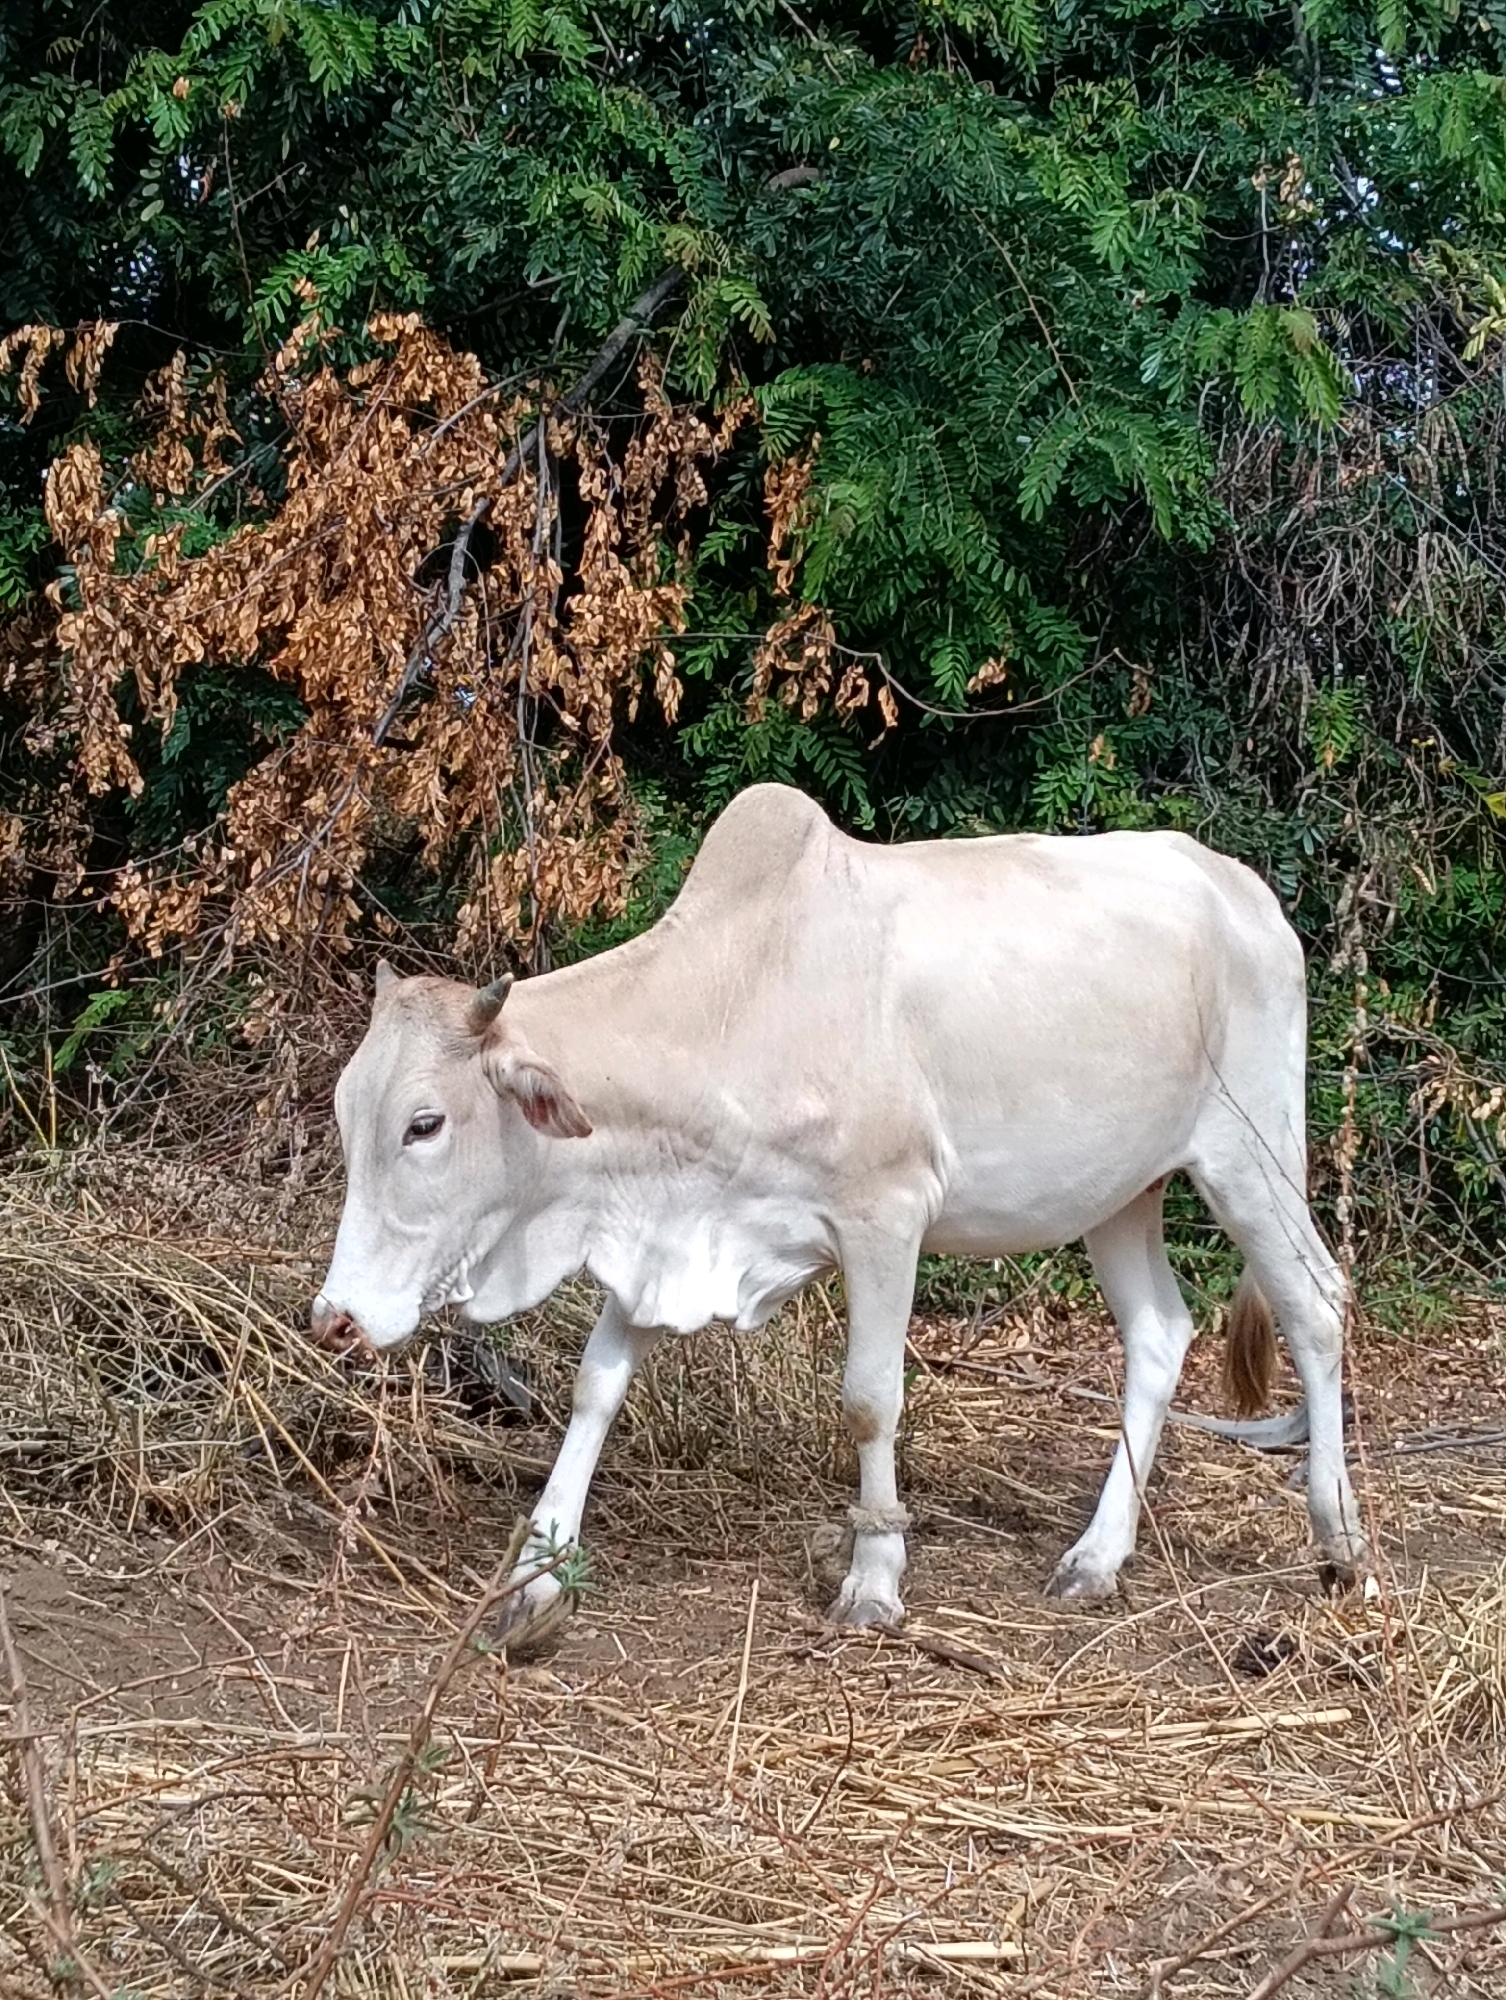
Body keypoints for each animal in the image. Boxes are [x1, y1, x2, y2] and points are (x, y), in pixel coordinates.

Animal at [312, 783, 1367, 1645]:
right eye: (344, 1108)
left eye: (424, 1124)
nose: (337, 1318)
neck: (739, 1003)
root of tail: (1239, 886)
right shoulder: (668, 1234)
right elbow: (595, 1387)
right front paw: (535, 1577)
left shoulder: (885, 1216)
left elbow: (870, 1400)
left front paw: (873, 1580)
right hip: (1120, 1190)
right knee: (1159, 1333)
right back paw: (1097, 1557)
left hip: (1251, 1154)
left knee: (1316, 1304)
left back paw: (1340, 1538)